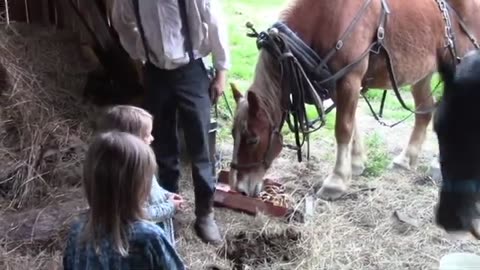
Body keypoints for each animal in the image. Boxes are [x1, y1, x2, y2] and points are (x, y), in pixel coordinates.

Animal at [228, 0, 480, 199]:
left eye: (252, 138)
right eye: (233, 134)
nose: (239, 188)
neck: (324, 17)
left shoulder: (349, 78)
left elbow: (343, 128)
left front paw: (337, 180)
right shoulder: (337, 83)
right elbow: (352, 126)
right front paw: (357, 162)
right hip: (422, 71)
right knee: (425, 112)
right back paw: (406, 158)